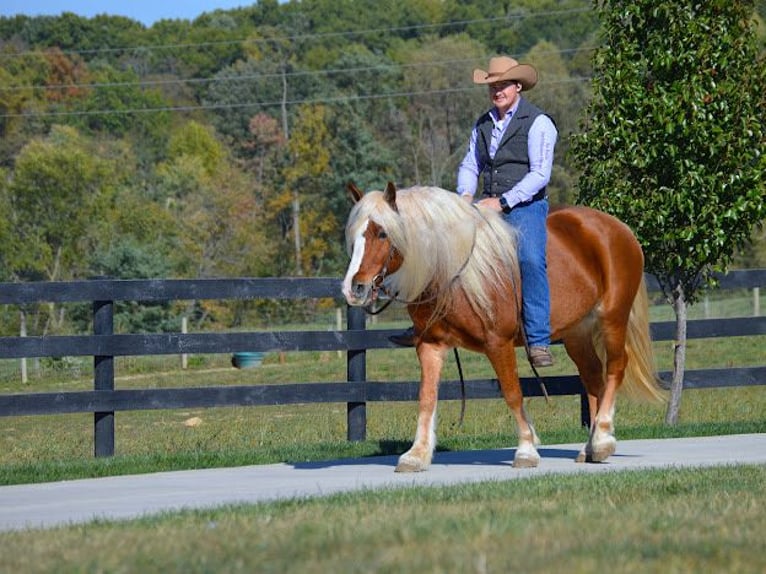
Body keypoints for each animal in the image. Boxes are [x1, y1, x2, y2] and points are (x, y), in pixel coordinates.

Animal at [342, 183, 664, 472]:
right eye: (354, 235)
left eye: (382, 233)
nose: (353, 288)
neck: (451, 269)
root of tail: (618, 227)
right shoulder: (429, 345)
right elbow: (427, 398)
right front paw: (416, 455)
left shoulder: (498, 342)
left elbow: (512, 393)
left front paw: (526, 450)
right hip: (578, 333)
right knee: (594, 378)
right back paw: (592, 447)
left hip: (613, 318)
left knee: (615, 368)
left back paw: (602, 439)